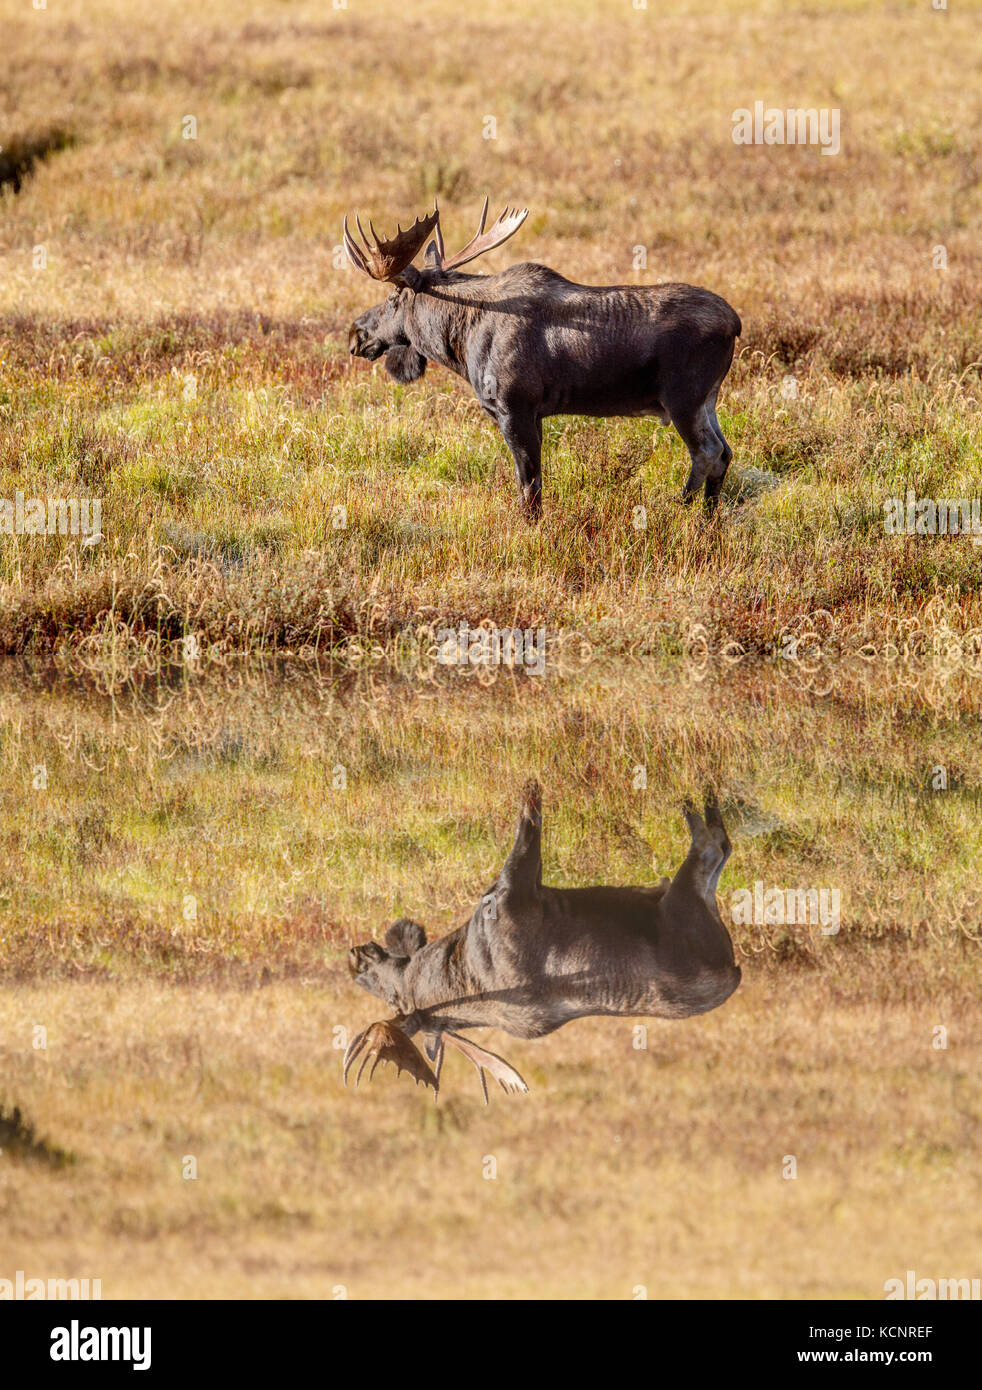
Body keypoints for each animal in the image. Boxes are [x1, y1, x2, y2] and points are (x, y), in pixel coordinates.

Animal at [342, 783, 734, 1095]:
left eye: (388, 993)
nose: (354, 957)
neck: (451, 964)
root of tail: (733, 970)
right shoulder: (516, 888)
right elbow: (530, 823)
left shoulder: (519, 887)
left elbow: (528, 823)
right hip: (684, 898)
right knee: (713, 846)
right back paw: (698, 806)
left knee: (719, 845)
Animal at [344, 198, 734, 519]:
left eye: (393, 298)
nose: (356, 334)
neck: (460, 340)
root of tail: (735, 323)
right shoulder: (536, 414)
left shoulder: (513, 408)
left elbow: (529, 487)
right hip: (708, 400)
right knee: (725, 453)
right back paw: (707, 519)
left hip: (683, 399)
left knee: (707, 452)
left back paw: (680, 511)